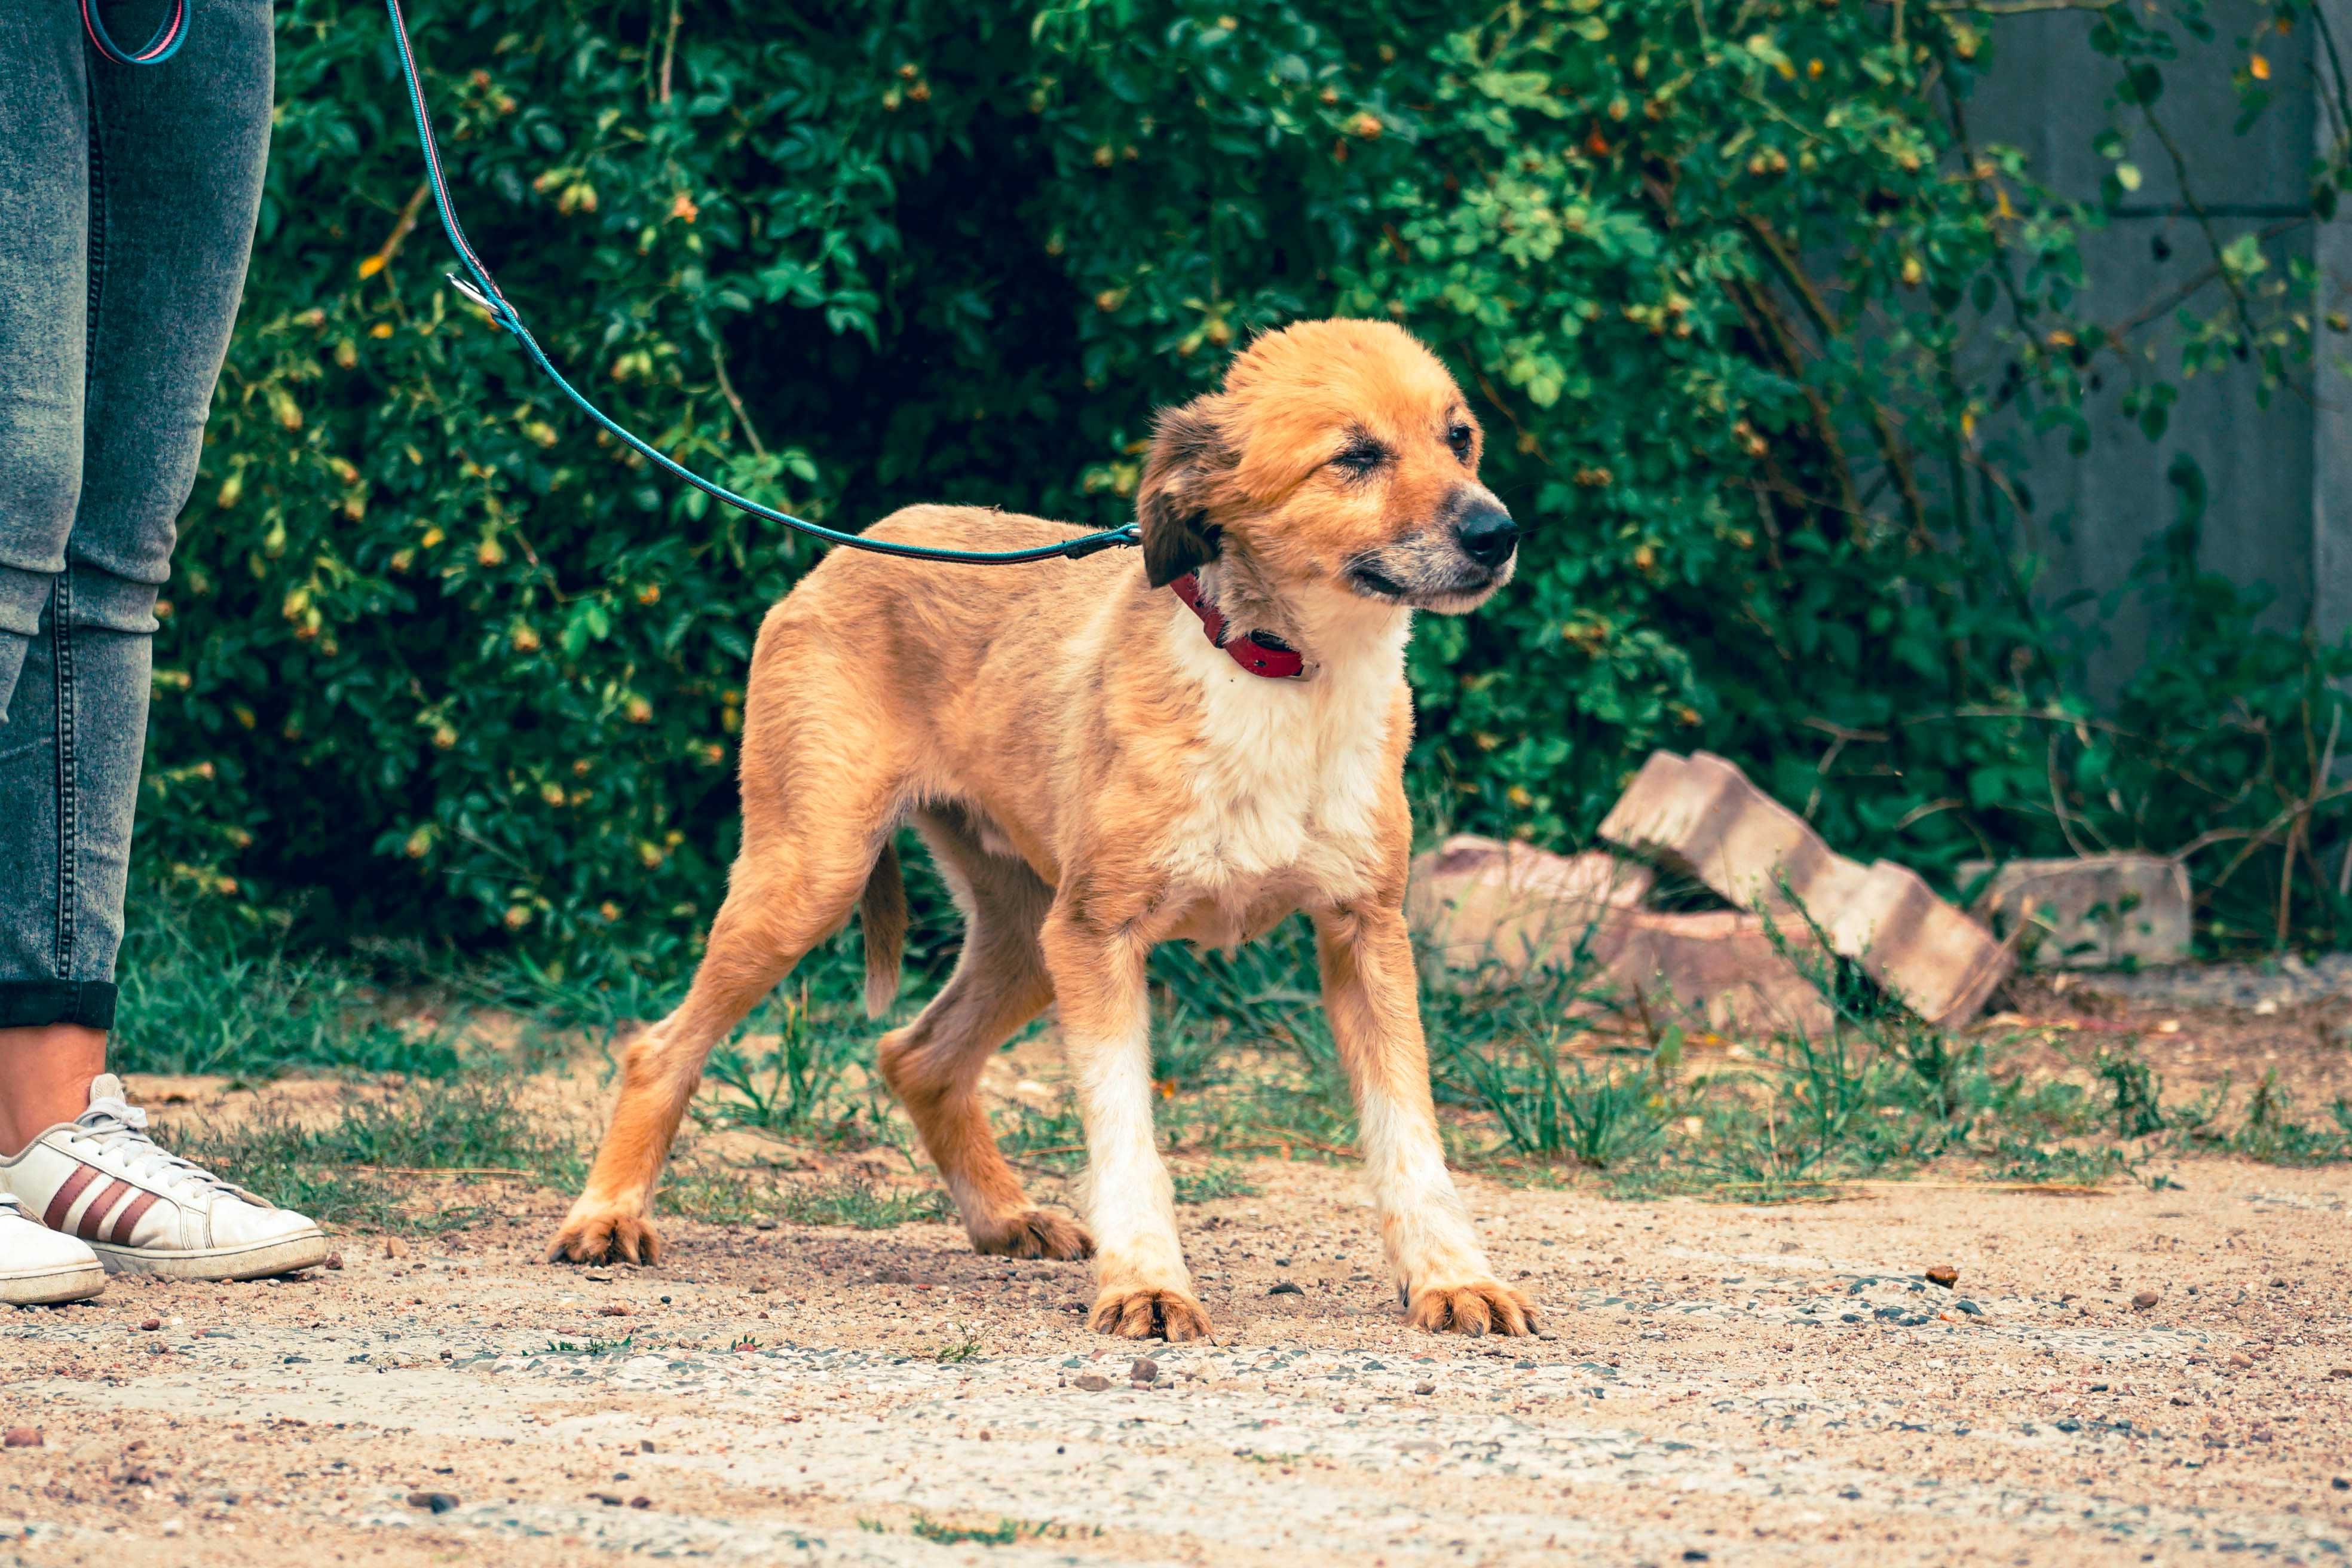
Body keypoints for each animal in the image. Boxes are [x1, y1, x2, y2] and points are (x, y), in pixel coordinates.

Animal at [550, 320, 1543, 1335]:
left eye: (1459, 438)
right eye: (1355, 456)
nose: (1498, 534)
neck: (1283, 676)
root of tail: (854, 548)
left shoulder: (1365, 933)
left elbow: (1410, 1137)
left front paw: (1452, 1277)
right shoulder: (1100, 937)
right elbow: (1126, 1136)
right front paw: (1146, 1283)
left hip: (1026, 933)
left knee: (917, 1056)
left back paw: (1003, 1216)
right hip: (815, 877)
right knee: (661, 1047)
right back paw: (607, 1217)